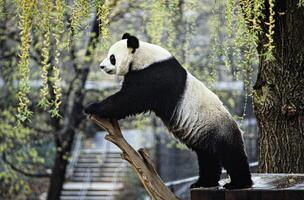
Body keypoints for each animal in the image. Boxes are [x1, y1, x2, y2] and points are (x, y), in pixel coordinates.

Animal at [84, 32, 253, 189]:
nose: (102, 66)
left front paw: (92, 107)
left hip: (219, 129)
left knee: (231, 155)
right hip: (204, 134)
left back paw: (238, 183)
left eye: (112, 57)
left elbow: (128, 99)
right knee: (207, 157)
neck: (143, 56)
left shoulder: (153, 76)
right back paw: (203, 182)